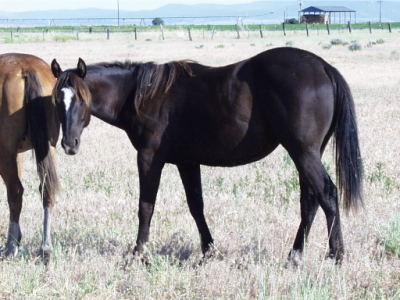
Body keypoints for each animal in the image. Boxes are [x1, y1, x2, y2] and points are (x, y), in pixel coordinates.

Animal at [0, 54, 59, 260]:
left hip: (5, 154)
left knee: (15, 192)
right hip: (48, 148)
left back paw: (11, 246)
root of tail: (26, 68)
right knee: (47, 189)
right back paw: (45, 247)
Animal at [50, 46, 362, 262]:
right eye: (57, 101)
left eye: (80, 99)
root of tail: (323, 67)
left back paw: (336, 255)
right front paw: (209, 249)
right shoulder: (187, 162)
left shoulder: (149, 158)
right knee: (310, 200)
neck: (145, 95)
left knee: (326, 194)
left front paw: (138, 251)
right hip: (307, 153)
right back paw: (295, 255)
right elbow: (196, 206)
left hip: (303, 152)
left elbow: (146, 206)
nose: (69, 145)